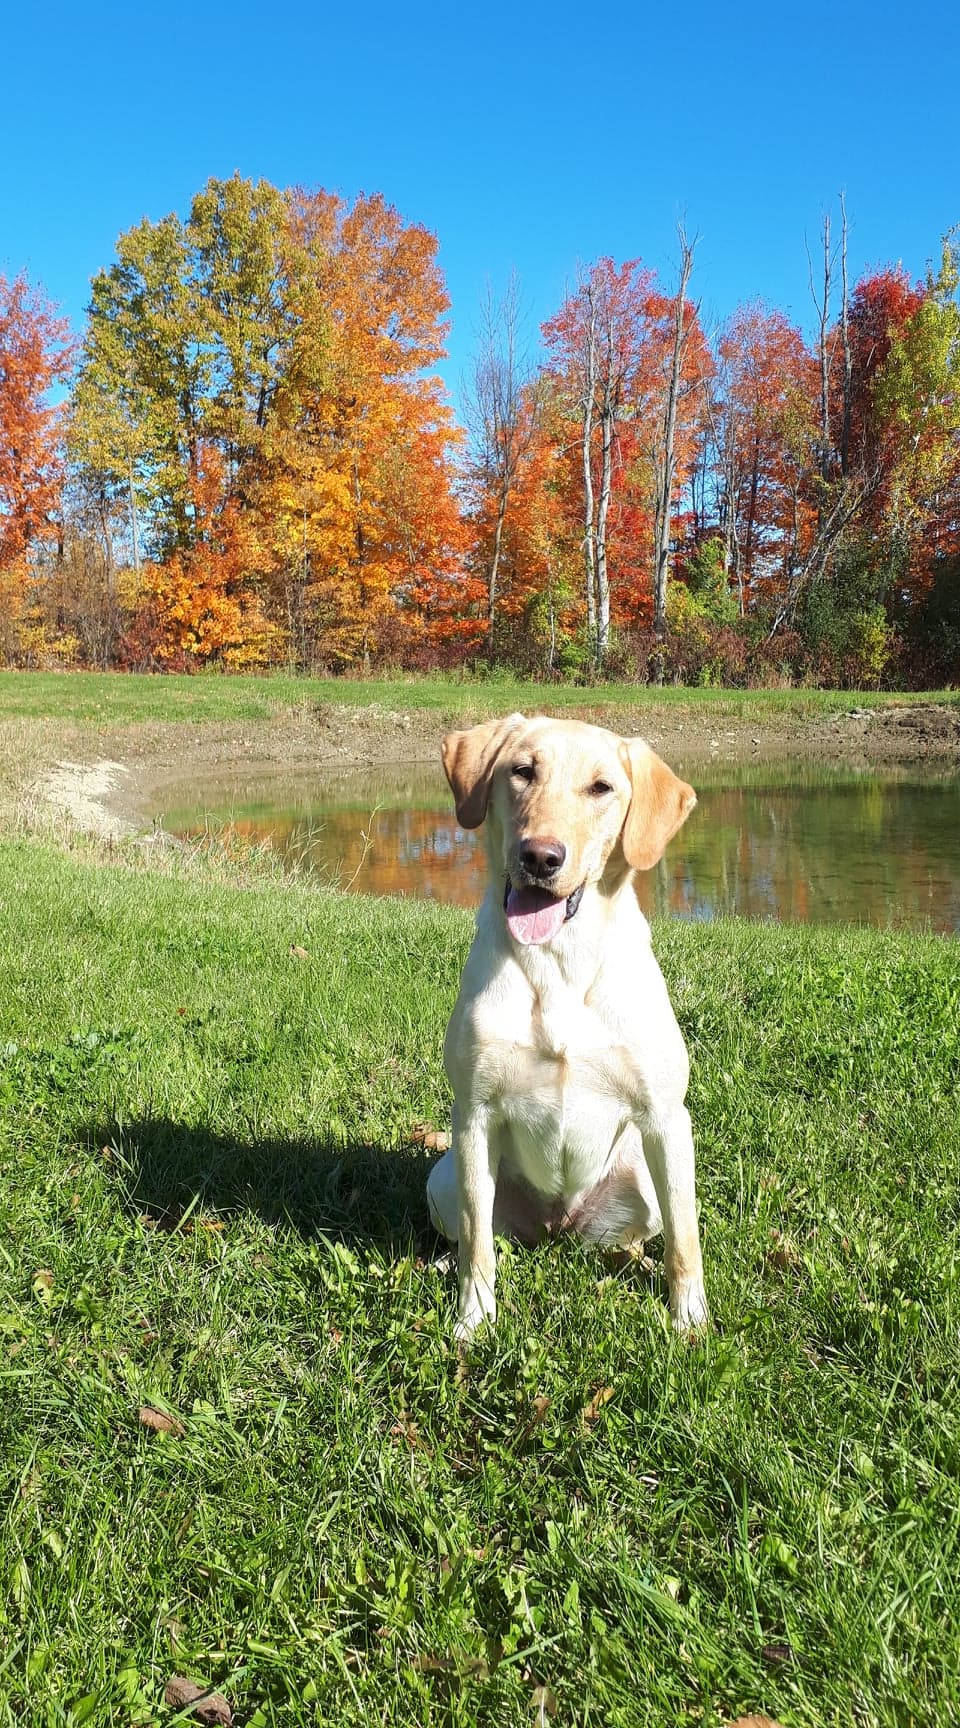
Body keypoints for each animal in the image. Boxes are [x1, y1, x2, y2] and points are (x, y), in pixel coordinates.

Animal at [426, 708, 704, 1340]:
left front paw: (690, 1320)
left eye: (601, 788)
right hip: (446, 1174)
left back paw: (635, 1262)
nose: (540, 857)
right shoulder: (474, 1114)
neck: (560, 961)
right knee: (477, 1233)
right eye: (522, 772)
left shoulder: (667, 1118)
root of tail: (558, 1225)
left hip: (645, 1177)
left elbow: (686, 1241)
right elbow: (478, 1246)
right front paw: (474, 1319)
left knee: (639, 1238)